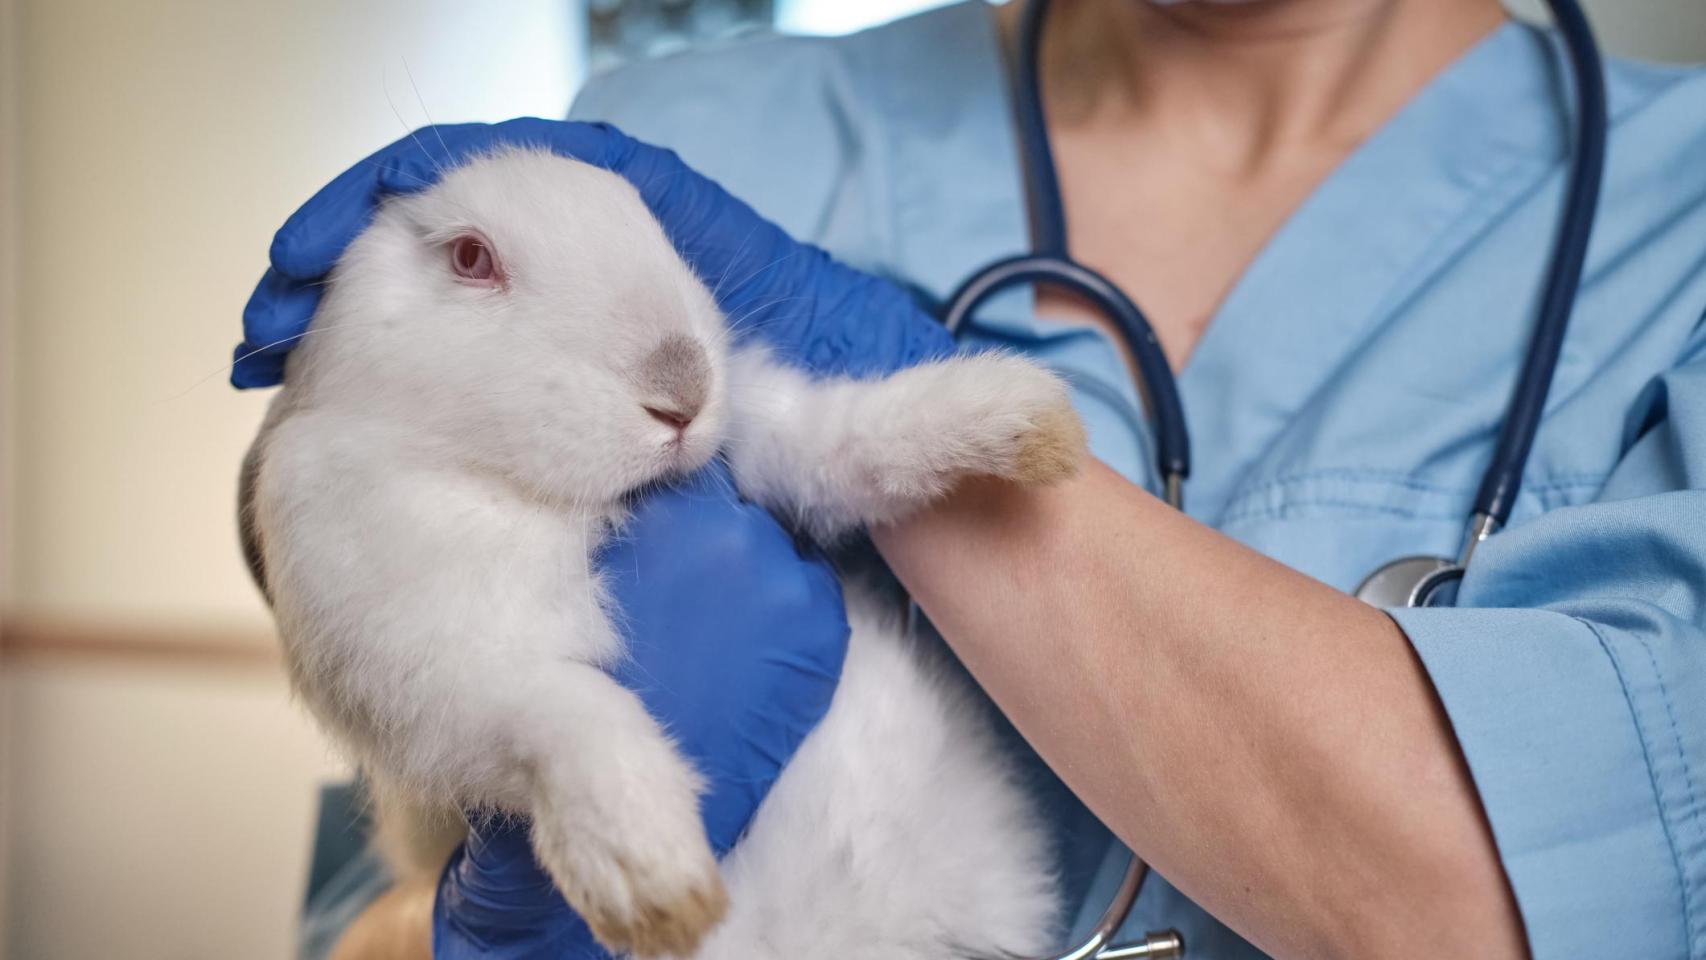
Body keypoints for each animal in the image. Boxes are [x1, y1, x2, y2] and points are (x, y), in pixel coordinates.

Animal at [240, 146, 1084, 959]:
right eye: (472, 258)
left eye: (651, 221)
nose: (684, 389)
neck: (550, 497)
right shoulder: (438, 670)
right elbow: (564, 712)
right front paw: (654, 883)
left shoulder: (773, 441)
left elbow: (847, 439)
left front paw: (1026, 417)